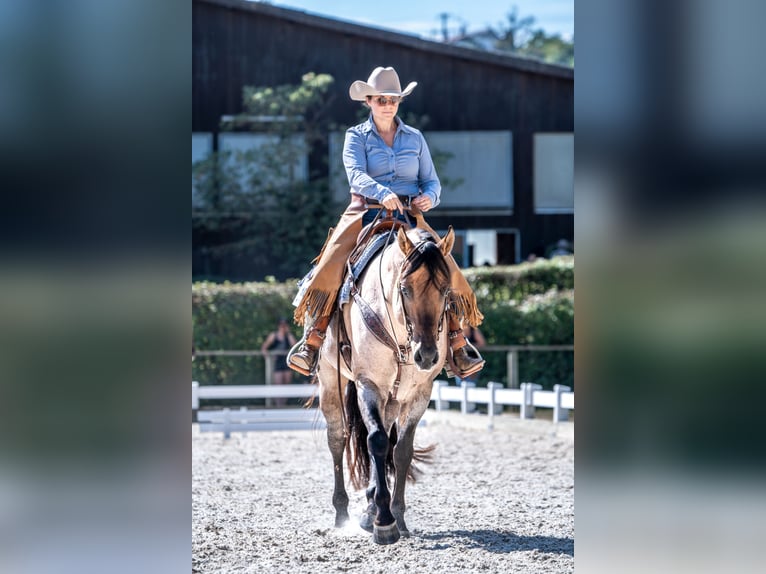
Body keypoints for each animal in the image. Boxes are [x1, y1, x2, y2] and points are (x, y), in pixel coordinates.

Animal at [314, 223, 452, 548]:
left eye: (445, 290)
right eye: (405, 289)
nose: (427, 355)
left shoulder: (419, 394)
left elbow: (401, 450)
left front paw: (396, 516)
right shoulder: (369, 385)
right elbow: (376, 440)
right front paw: (385, 523)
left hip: (393, 399)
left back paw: (370, 507)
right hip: (331, 381)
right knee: (337, 439)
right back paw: (343, 514)